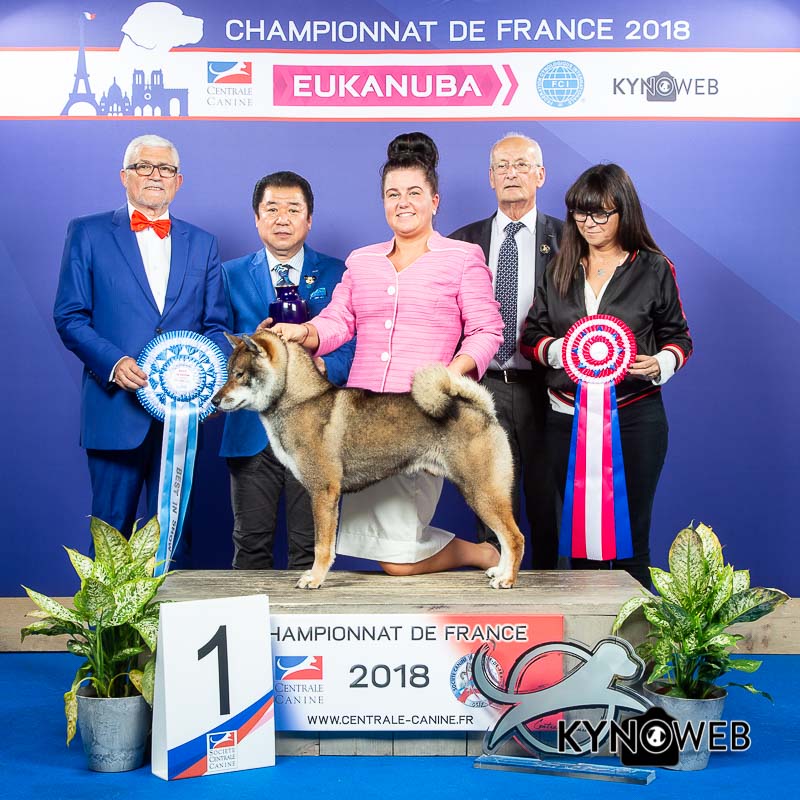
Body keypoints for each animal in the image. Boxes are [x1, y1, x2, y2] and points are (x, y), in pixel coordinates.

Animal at [212, 331, 524, 589]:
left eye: (239, 374)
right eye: (228, 373)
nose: (214, 401)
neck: (301, 400)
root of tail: (483, 411)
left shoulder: (323, 493)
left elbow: (322, 546)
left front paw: (315, 578)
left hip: (482, 492)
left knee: (514, 537)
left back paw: (507, 579)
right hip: (484, 494)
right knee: (506, 538)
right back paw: (499, 571)